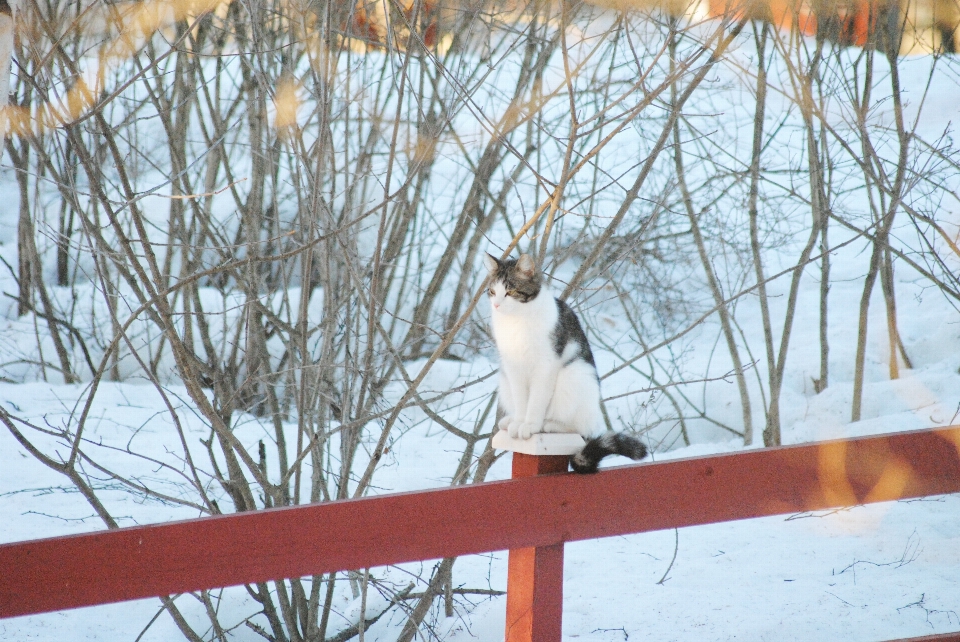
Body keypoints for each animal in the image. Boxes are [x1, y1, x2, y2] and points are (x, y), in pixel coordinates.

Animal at [484, 252, 648, 472]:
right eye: (492, 291)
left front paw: (530, 425)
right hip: (504, 381)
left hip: (574, 375)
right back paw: (510, 421)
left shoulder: (545, 366)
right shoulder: (513, 368)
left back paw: (548, 424)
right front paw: (519, 422)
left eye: (510, 291)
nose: (496, 305)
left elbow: (536, 401)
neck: (516, 321)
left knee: (580, 427)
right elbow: (521, 400)